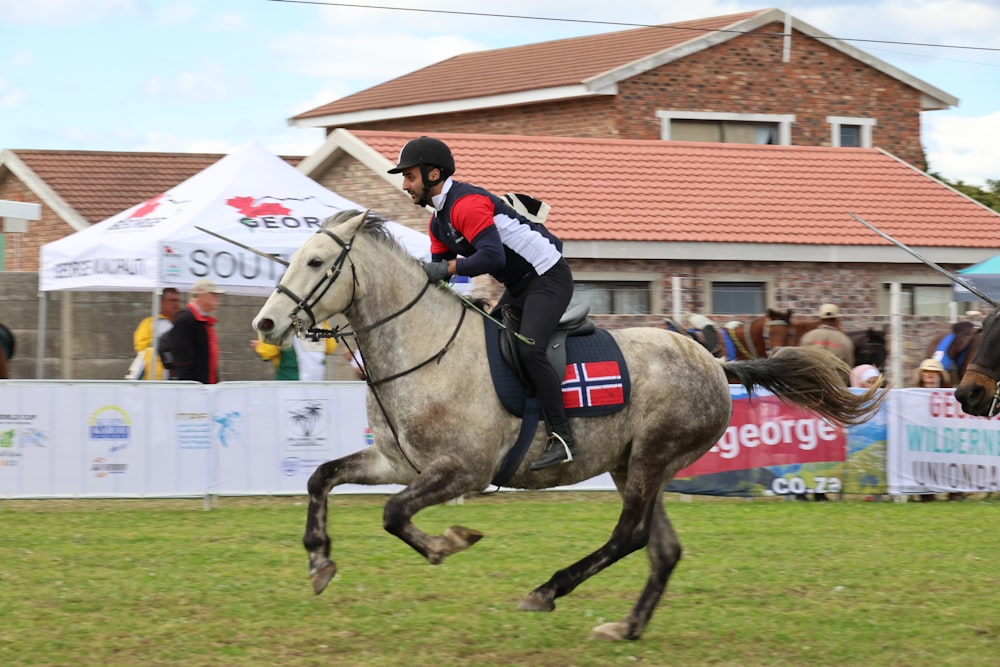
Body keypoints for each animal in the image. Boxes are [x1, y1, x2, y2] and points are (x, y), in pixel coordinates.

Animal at [252, 211, 884, 640]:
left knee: (629, 537)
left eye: (315, 262)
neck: (426, 350)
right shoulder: (396, 462)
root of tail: (712, 359)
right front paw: (319, 561)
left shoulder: (462, 471)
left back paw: (547, 590)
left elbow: (393, 515)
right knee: (661, 548)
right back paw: (626, 627)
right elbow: (321, 477)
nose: (267, 324)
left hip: (651, 458)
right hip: (637, 465)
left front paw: (448, 543)